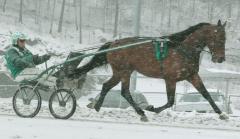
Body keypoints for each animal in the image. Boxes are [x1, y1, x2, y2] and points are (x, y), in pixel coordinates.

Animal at [71, 19, 227, 121]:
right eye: (218, 37)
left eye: (225, 38)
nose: (220, 59)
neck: (183, 50)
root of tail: (114, 43)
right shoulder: (170, 79)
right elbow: (170, 101)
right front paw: (152, 108)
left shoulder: (192, 76)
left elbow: (206, 94)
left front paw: (221, 114)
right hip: (124, 71)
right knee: (125, 92)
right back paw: (141, 112)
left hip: (121, 72)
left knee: (107, 86)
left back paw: (97, 107)